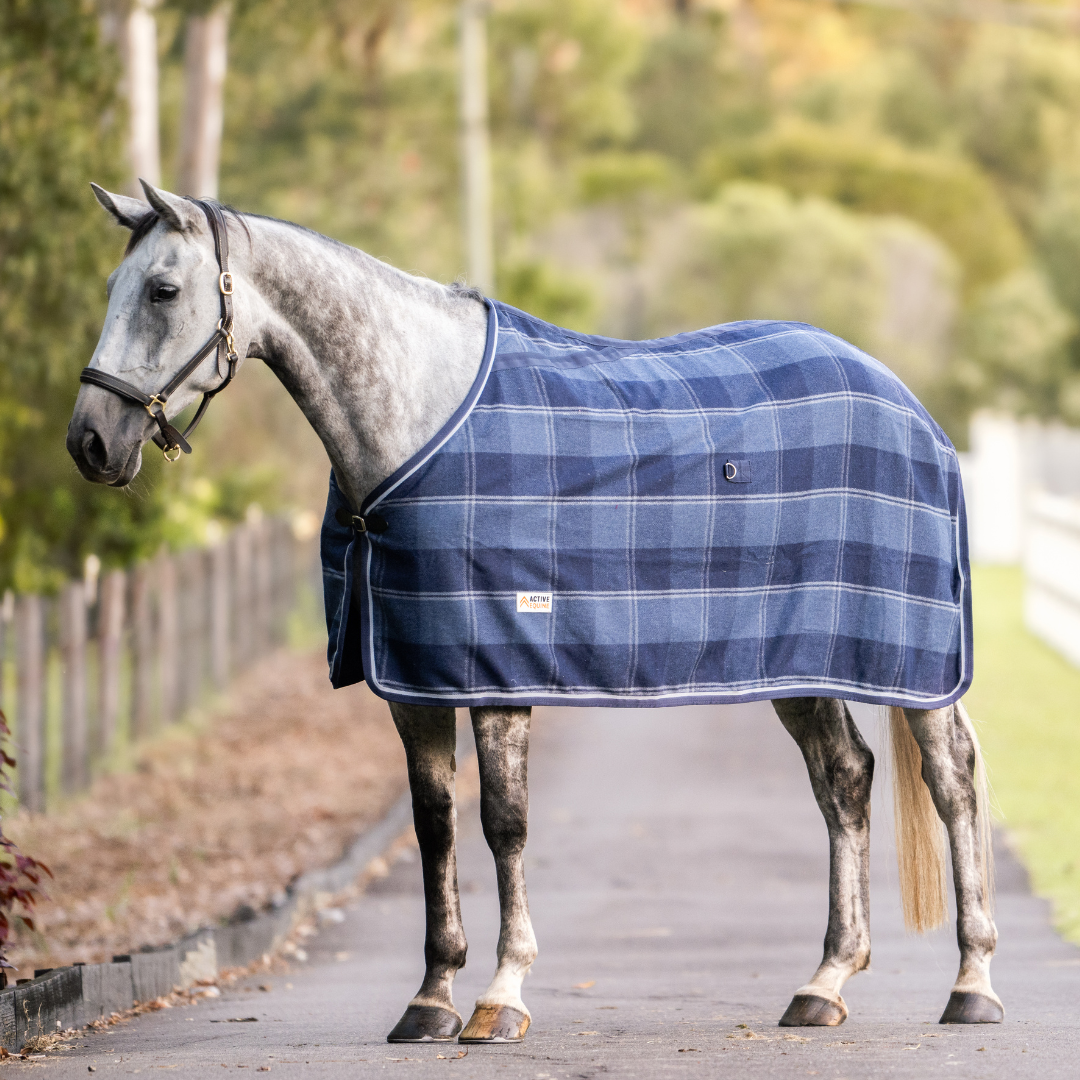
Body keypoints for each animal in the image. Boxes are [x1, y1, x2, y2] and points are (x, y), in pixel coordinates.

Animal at [68, 181, 1002, 1043]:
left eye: (162, 290)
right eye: (112, 284)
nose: (90, 442)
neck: (417, 420)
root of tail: (912, 407)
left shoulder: (497, 667)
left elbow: (503, 824)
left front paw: (500, 995)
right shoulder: (416, 676)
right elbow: (435, 825)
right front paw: (430, 1000)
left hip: (918, 665)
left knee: (953, 781)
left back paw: (972, 984)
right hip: (802, 663)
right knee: (844, 780)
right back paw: (825, 983)